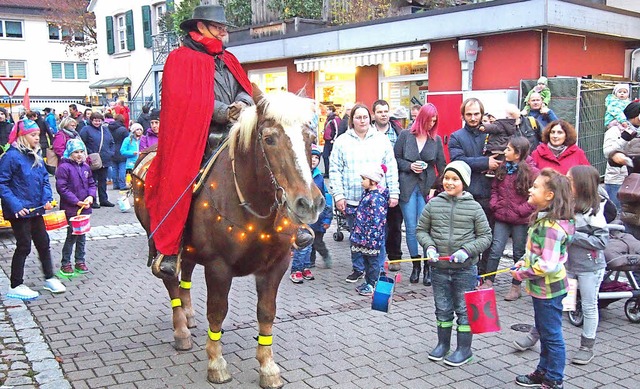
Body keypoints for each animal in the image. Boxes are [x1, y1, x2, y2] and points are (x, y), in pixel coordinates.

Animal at [134, 86, 324, 386]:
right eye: (269, 139)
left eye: (310, 137)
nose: (309, 203)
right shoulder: (218, 267)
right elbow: (217, 311)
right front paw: (216, 363)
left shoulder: (276, 266)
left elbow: (266, 312)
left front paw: (268, 367)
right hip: (163, 241)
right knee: (171, 280)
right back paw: (181, 331)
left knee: (185, 275)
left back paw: (188, 314)